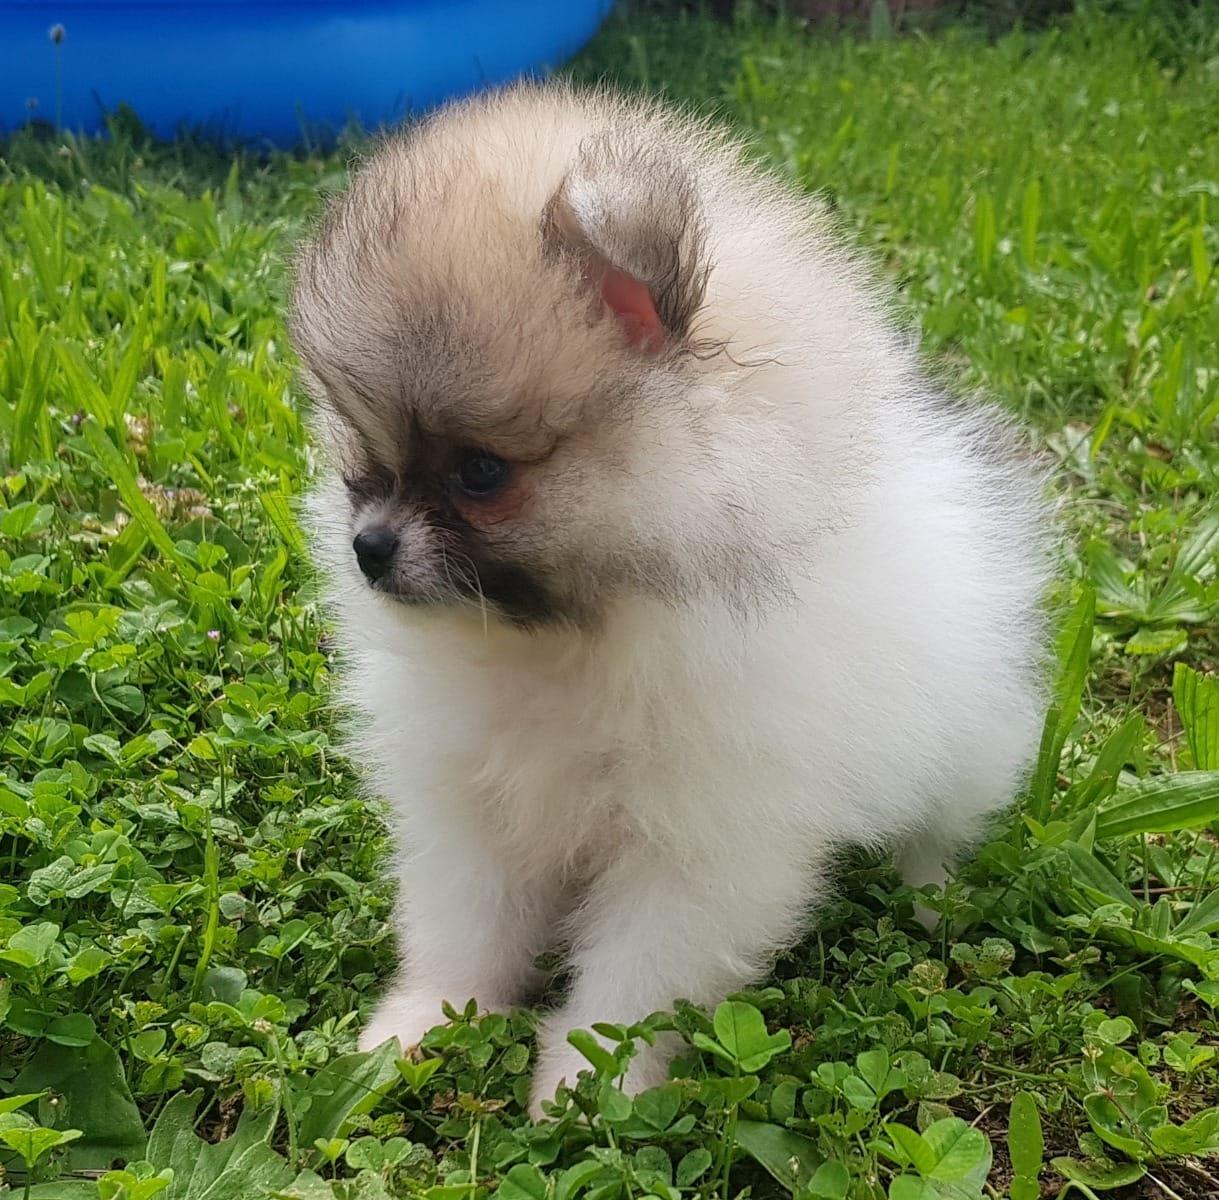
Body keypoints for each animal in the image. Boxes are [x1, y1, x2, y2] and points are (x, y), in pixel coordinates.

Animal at [287, 82, 1048, 1117]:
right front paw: (418, 1028)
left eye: (481, 471)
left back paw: (924, 895)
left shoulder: (701, 844)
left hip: (962, 757)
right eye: (362, 458)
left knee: (937, 829)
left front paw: (585, 1086)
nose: (367, 548)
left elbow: (637, 978)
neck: (571, 635)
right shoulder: (469, 802)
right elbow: (464, 930)